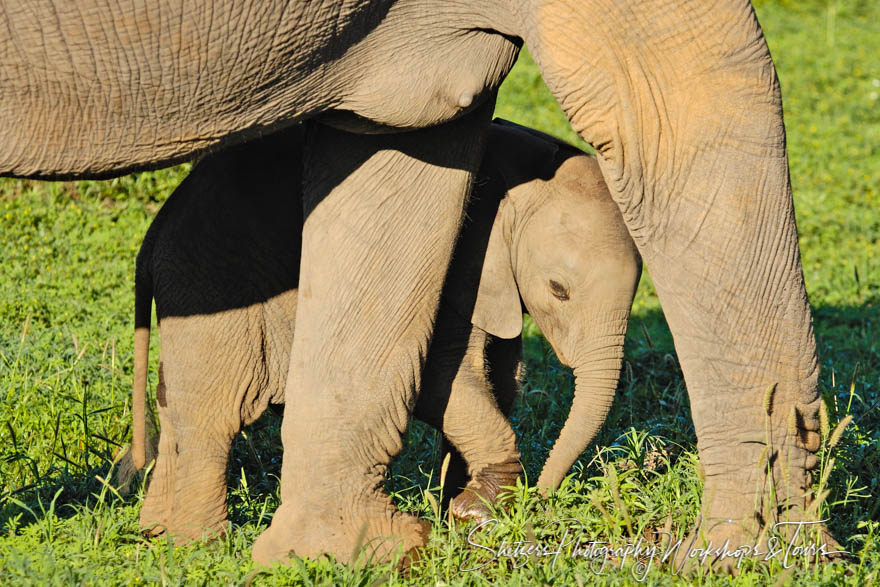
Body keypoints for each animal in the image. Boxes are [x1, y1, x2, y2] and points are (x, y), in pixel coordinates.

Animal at [129, 119, 640, 544]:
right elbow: (440, 381)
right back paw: (199, 544)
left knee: (174, 406)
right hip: (211, 284)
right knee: (213, 414)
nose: (544, 499)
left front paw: (459, 508)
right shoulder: (458, 261)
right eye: (559, 290)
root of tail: (154, 234)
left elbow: (502, 379)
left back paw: (155, 532)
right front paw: (477, 511)